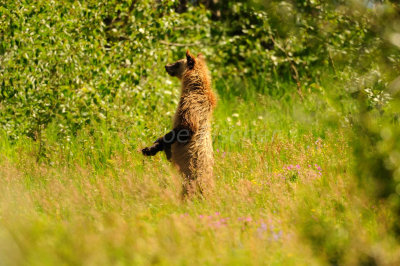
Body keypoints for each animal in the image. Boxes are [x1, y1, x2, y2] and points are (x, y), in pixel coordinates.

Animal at [142, 50, 217, 196]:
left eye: (177, 63)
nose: (166, 66)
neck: (192, 86)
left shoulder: (191, 105)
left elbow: (185, 128)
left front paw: (151, 147)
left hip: (193, 175)